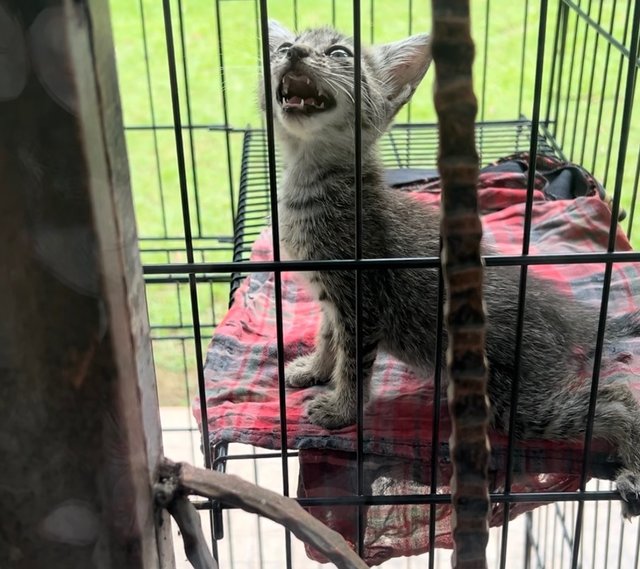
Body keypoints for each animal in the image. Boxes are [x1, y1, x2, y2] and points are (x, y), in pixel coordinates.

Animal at [260, 21, 640, 516]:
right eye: (285, 46)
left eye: (340, 53)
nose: (294, 53)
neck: (311, 178)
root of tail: (565, 317)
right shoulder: (331, 299)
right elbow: (329, 338)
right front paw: (315, 369)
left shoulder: (362, 300)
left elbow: (355, 363)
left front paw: (342, 409)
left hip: (514, 402)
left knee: (617, 399)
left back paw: (631, 464)